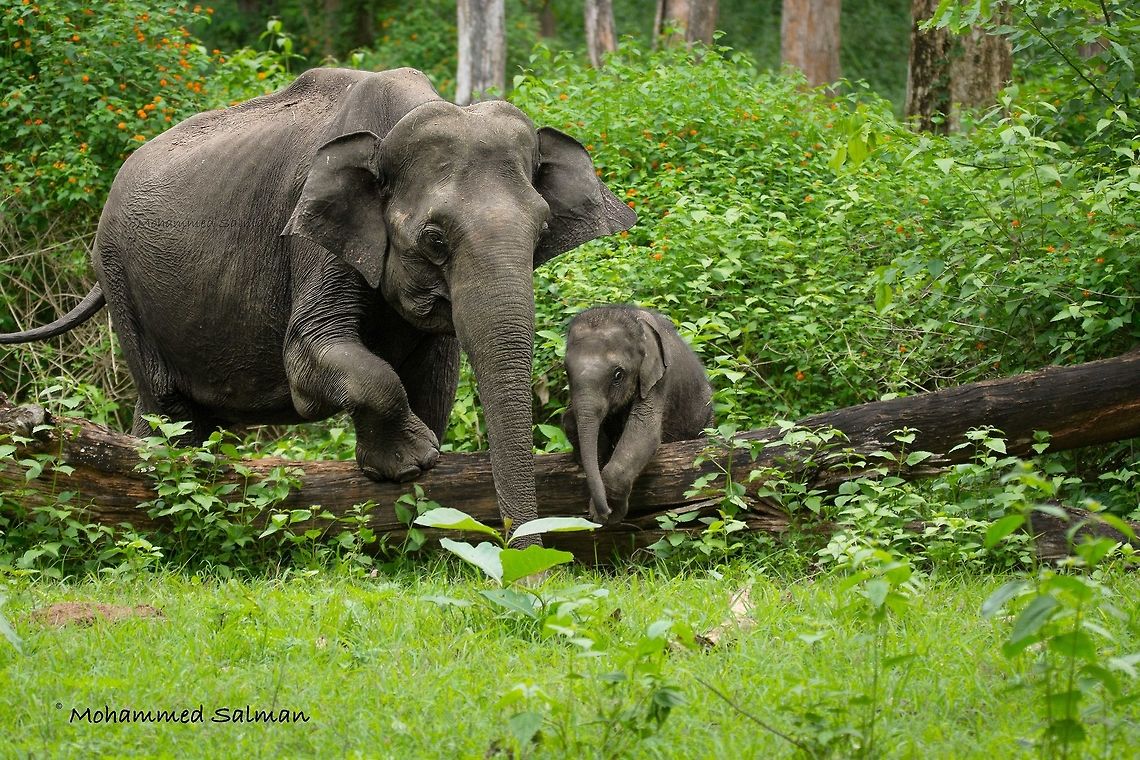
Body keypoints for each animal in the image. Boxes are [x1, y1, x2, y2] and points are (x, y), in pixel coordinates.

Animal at [0, 67, 636, 540]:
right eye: (434, 238)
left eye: (543, 229)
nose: (532, 567)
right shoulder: (309, 234)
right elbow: (311, 353)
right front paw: (410, 461)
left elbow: (438, 368)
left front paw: (421, 480)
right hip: (121, 280)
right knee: (167, 405)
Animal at [561, 305, 713, 525]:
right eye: (567, 373)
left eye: (618, 375)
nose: (604, 511)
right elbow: (569, 421)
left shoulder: (659, 378)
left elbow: (644, 432)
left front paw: (610, 513)